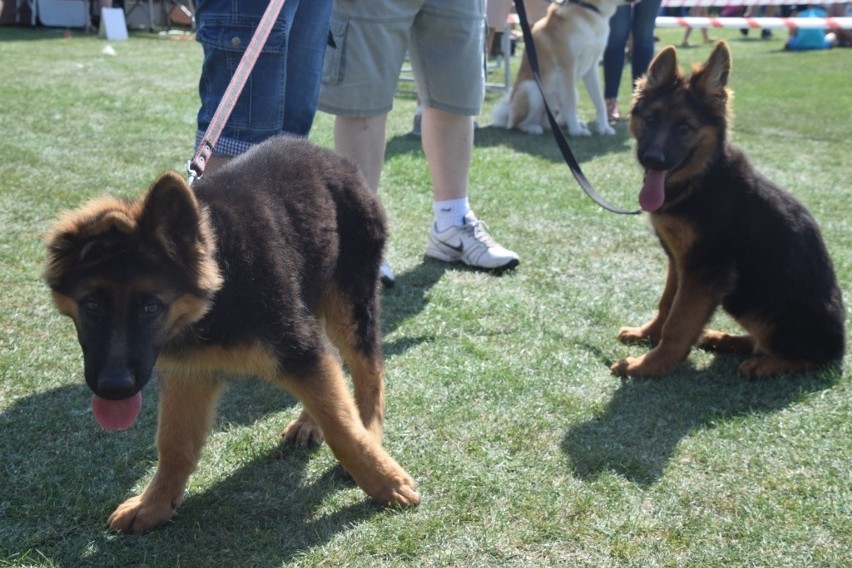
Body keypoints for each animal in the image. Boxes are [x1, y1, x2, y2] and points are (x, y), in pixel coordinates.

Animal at [43, 136, 422, 532]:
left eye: (151, 307)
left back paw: (371, 433)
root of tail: (333, 158)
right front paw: (155, 504)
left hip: (349, 302)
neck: (221, 283)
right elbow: (175, 444)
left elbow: (342, 425)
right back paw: (309, 422)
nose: (114, 389)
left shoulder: (296, 346)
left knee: (368, 372)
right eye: (91, 305)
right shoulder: (190, 371)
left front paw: (384, 482)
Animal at [608, 42, 844, 380]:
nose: (652, 160)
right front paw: (646, 335)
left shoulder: (704, 269)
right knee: (761, 343)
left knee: (811, 358)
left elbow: (678, 323)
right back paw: (722, 339)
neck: (703, 178)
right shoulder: (679, 261)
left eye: (684, 127)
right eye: (651, 120)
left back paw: (763, 364)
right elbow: (667, 304)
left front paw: (650, 364)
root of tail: (841, 344)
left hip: (752, 300)